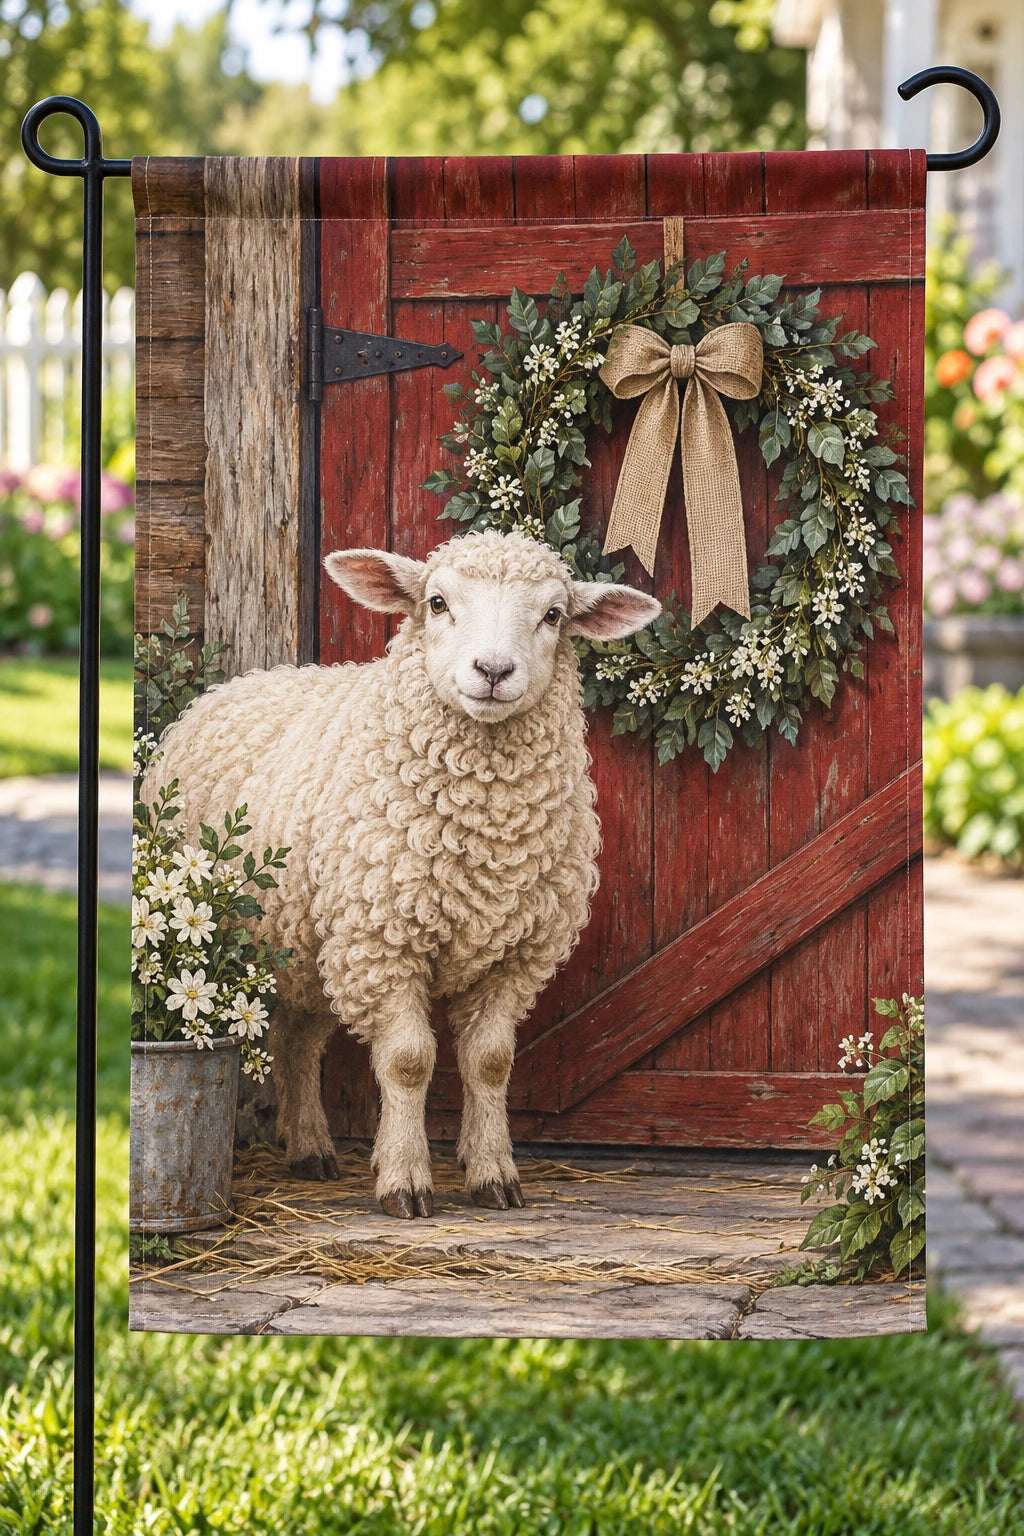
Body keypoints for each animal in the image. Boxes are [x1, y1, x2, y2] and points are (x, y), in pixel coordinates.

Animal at [147, 529, 661, 1217]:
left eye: (554, 615)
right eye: (437, 602)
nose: (493, 672)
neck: (485, 830)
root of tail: (245, 682)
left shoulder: (516, 956)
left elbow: (491, 1062)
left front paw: (493, 1174)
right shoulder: (380, 944)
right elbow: (410, 1063)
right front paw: (405, 1180)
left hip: (308, 941)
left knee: (297, 1039)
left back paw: (310, 1148)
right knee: (297, 1039)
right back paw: (313, 1147)